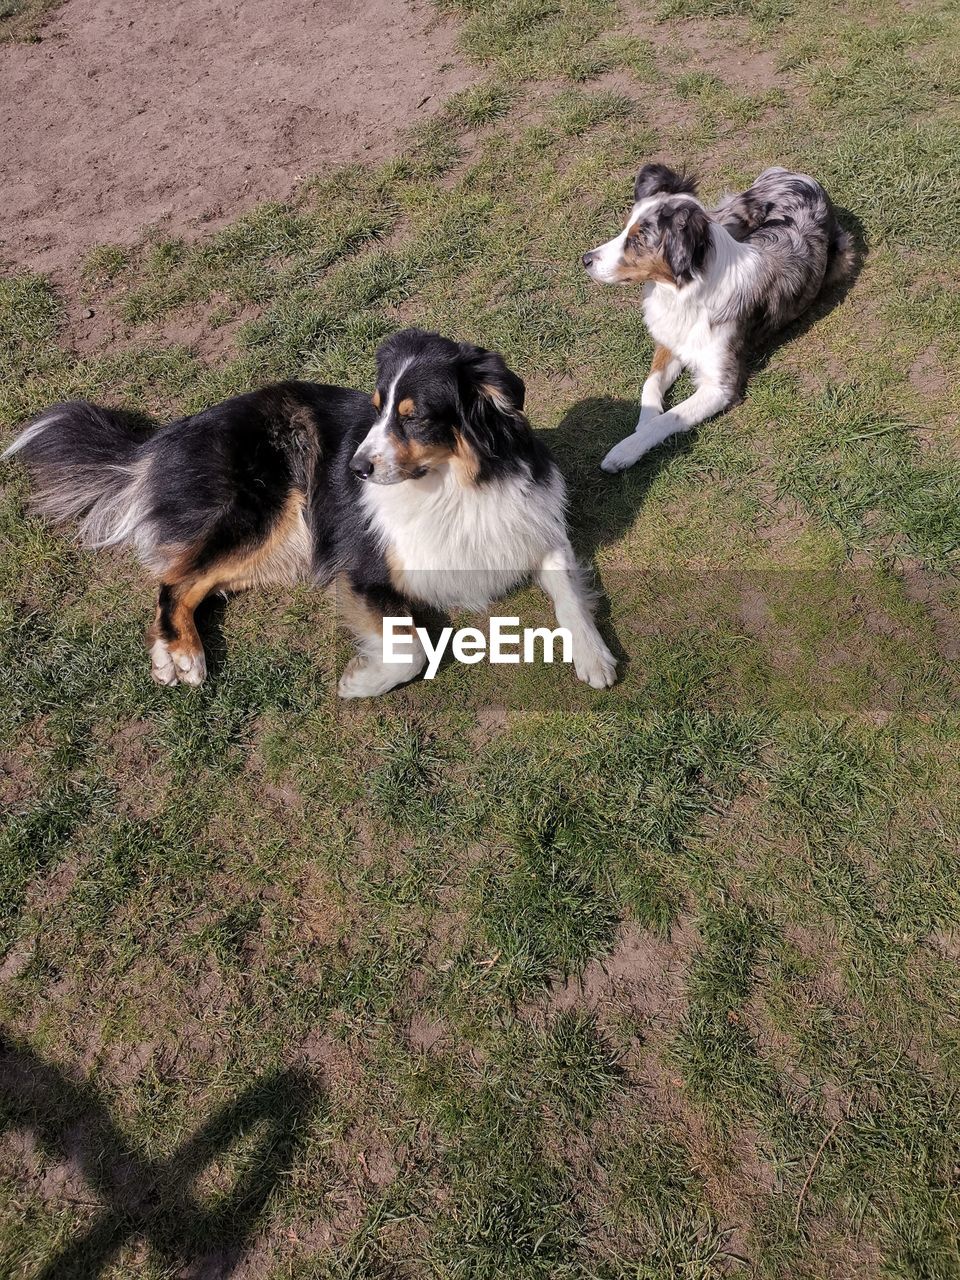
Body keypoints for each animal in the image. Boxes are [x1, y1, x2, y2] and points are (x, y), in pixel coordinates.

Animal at [5, 325, 616, 696]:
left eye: (413, 417)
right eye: (376, 409)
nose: (355, 468)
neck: (453, 488)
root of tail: (164, 436)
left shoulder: (534, 527)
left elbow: (568, 591)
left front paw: (593, 655)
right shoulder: (363, 569)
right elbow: (411, 651)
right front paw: (359, 682)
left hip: (287, 543)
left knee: (198, 579)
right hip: (263, 511)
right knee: (174, 578)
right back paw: (180, 656)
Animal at [583, 165, 855, 473]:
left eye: (638, 241)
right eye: (624, 229)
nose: (585, 259)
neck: (685, 292)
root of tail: (795, 174)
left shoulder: (721, 386)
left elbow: (671, 417)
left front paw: (625, 449)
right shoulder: (672, 341)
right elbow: (650, 385)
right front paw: (642, 425)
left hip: (843, 257)